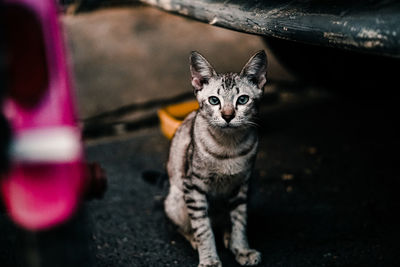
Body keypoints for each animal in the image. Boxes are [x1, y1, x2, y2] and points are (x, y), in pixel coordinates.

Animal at [164, 50, 268, 267]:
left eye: (242, 100)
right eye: (214, 100)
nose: (228, 116)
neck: (228, 148)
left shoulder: (242, 186)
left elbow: (240, 221)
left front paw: (242, 248)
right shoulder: (193, 187)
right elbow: (203, 228)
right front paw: (209, 259)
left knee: (225, 223)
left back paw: (228, 238)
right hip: (176, 200)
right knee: (185, 226)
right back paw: (194, 239)